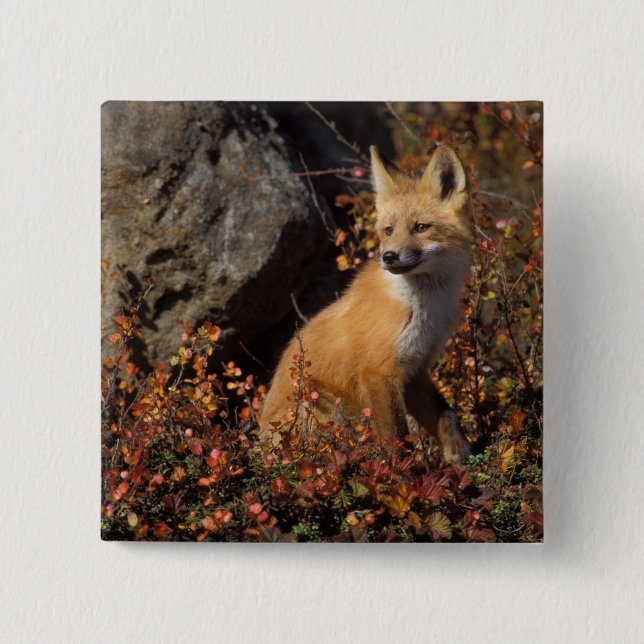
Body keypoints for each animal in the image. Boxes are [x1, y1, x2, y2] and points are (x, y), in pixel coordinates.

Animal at [259, 144, 473, 464]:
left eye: (421, 227)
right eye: (388, 230)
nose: (389, 257)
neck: (422, 308)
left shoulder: (415, 370)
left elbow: (447, 416)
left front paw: (461, 457)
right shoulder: (378, 372)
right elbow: (397, 438)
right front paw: (408, 472)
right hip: (321, 404)